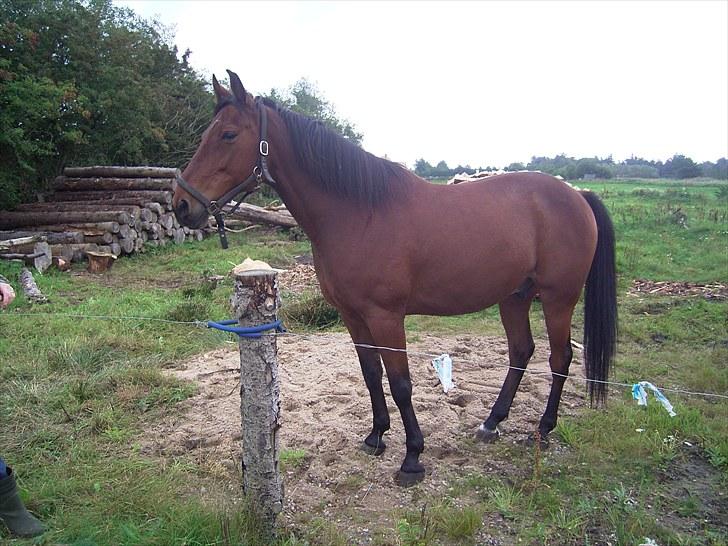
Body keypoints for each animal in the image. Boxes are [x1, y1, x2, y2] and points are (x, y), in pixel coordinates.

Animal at [173, 70, 616, 482]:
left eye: (229, 134)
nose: (181, 205)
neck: (359, 213)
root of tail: (577, 196)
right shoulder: (353, 316)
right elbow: (371, 375)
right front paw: (376, 436)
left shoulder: (386, 316)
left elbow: (401, 383)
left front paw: (412, 457)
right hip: (514, 296)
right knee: (522, 352)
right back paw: (491, 423)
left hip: (558, 298)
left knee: (560, 358)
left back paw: (542, 429)